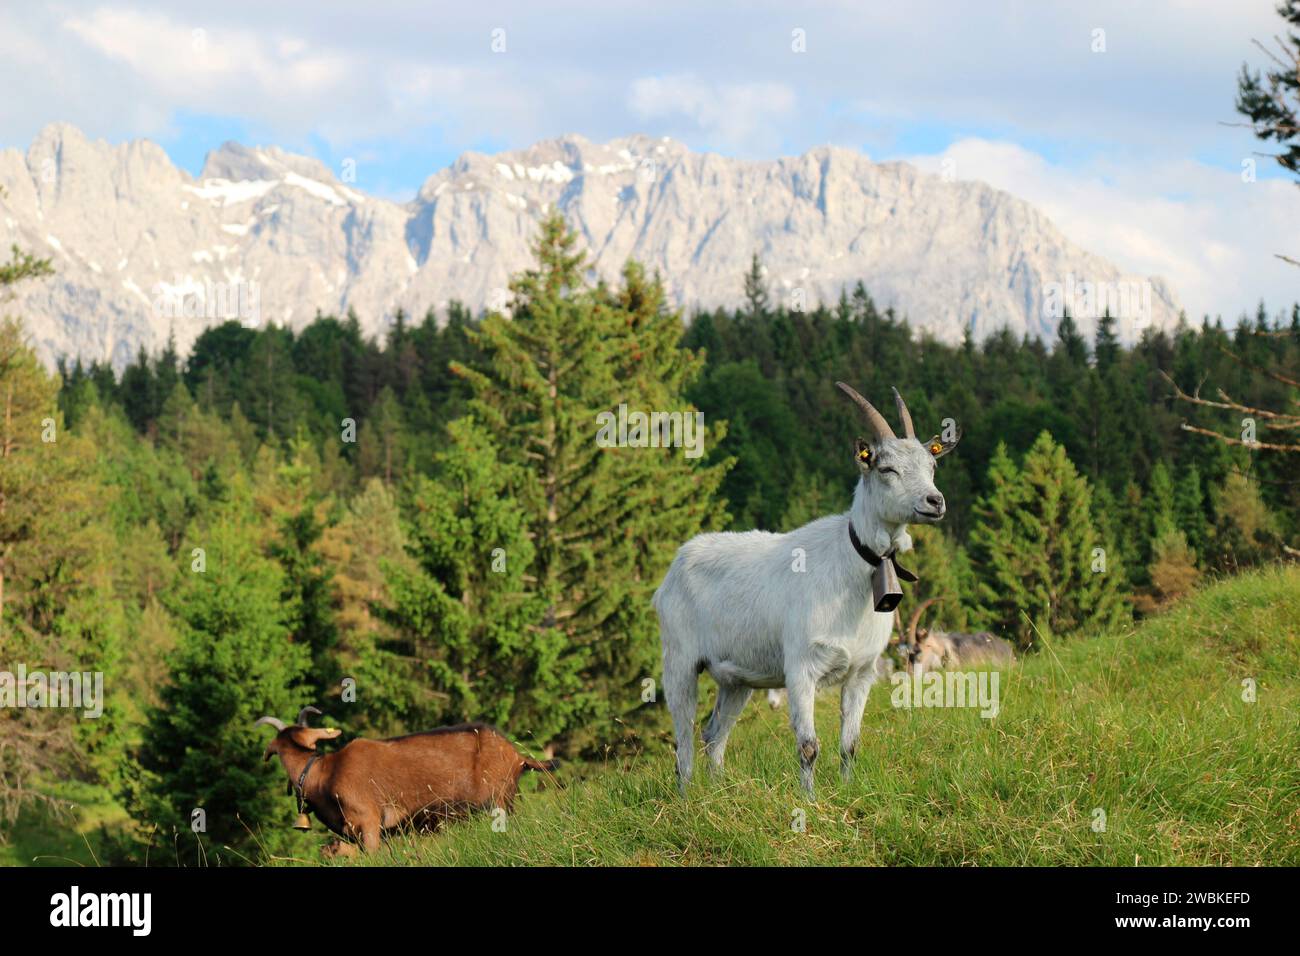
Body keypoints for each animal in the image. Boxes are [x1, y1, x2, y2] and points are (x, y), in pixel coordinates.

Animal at [655, 383, 959, 794]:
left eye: (932, 466)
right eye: (886, 468)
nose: (935, 501)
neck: (850, 570)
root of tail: (676, 564)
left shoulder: (862, 672)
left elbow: (850, 743)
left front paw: (848, 790)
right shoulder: (801, 669)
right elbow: (809, 745)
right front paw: (810, 799)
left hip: (737, 678)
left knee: (714, 734)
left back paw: (718, 792)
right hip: (680, 661)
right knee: (684, 739)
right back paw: (687, 797)